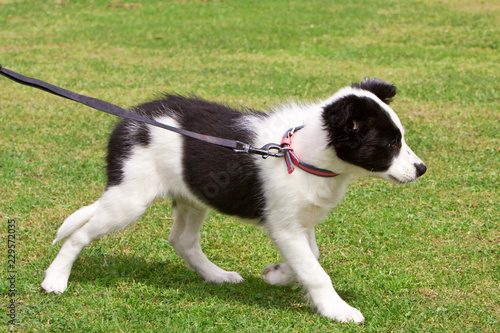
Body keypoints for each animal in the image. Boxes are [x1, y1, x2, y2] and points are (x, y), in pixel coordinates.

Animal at [41, 78, 428, 322]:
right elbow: (316, 271)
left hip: (194, 196)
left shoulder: (300, 220)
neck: (301, 153)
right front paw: (337, 310)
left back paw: (216, 276)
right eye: (389, 144)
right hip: (129, 198)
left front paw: (277, 275)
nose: (422, 169)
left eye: (401, 138)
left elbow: (312, 257)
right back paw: (55, 279)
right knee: (79, 234)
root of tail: (128, 122)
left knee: (181, 240)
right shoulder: (285, 226)